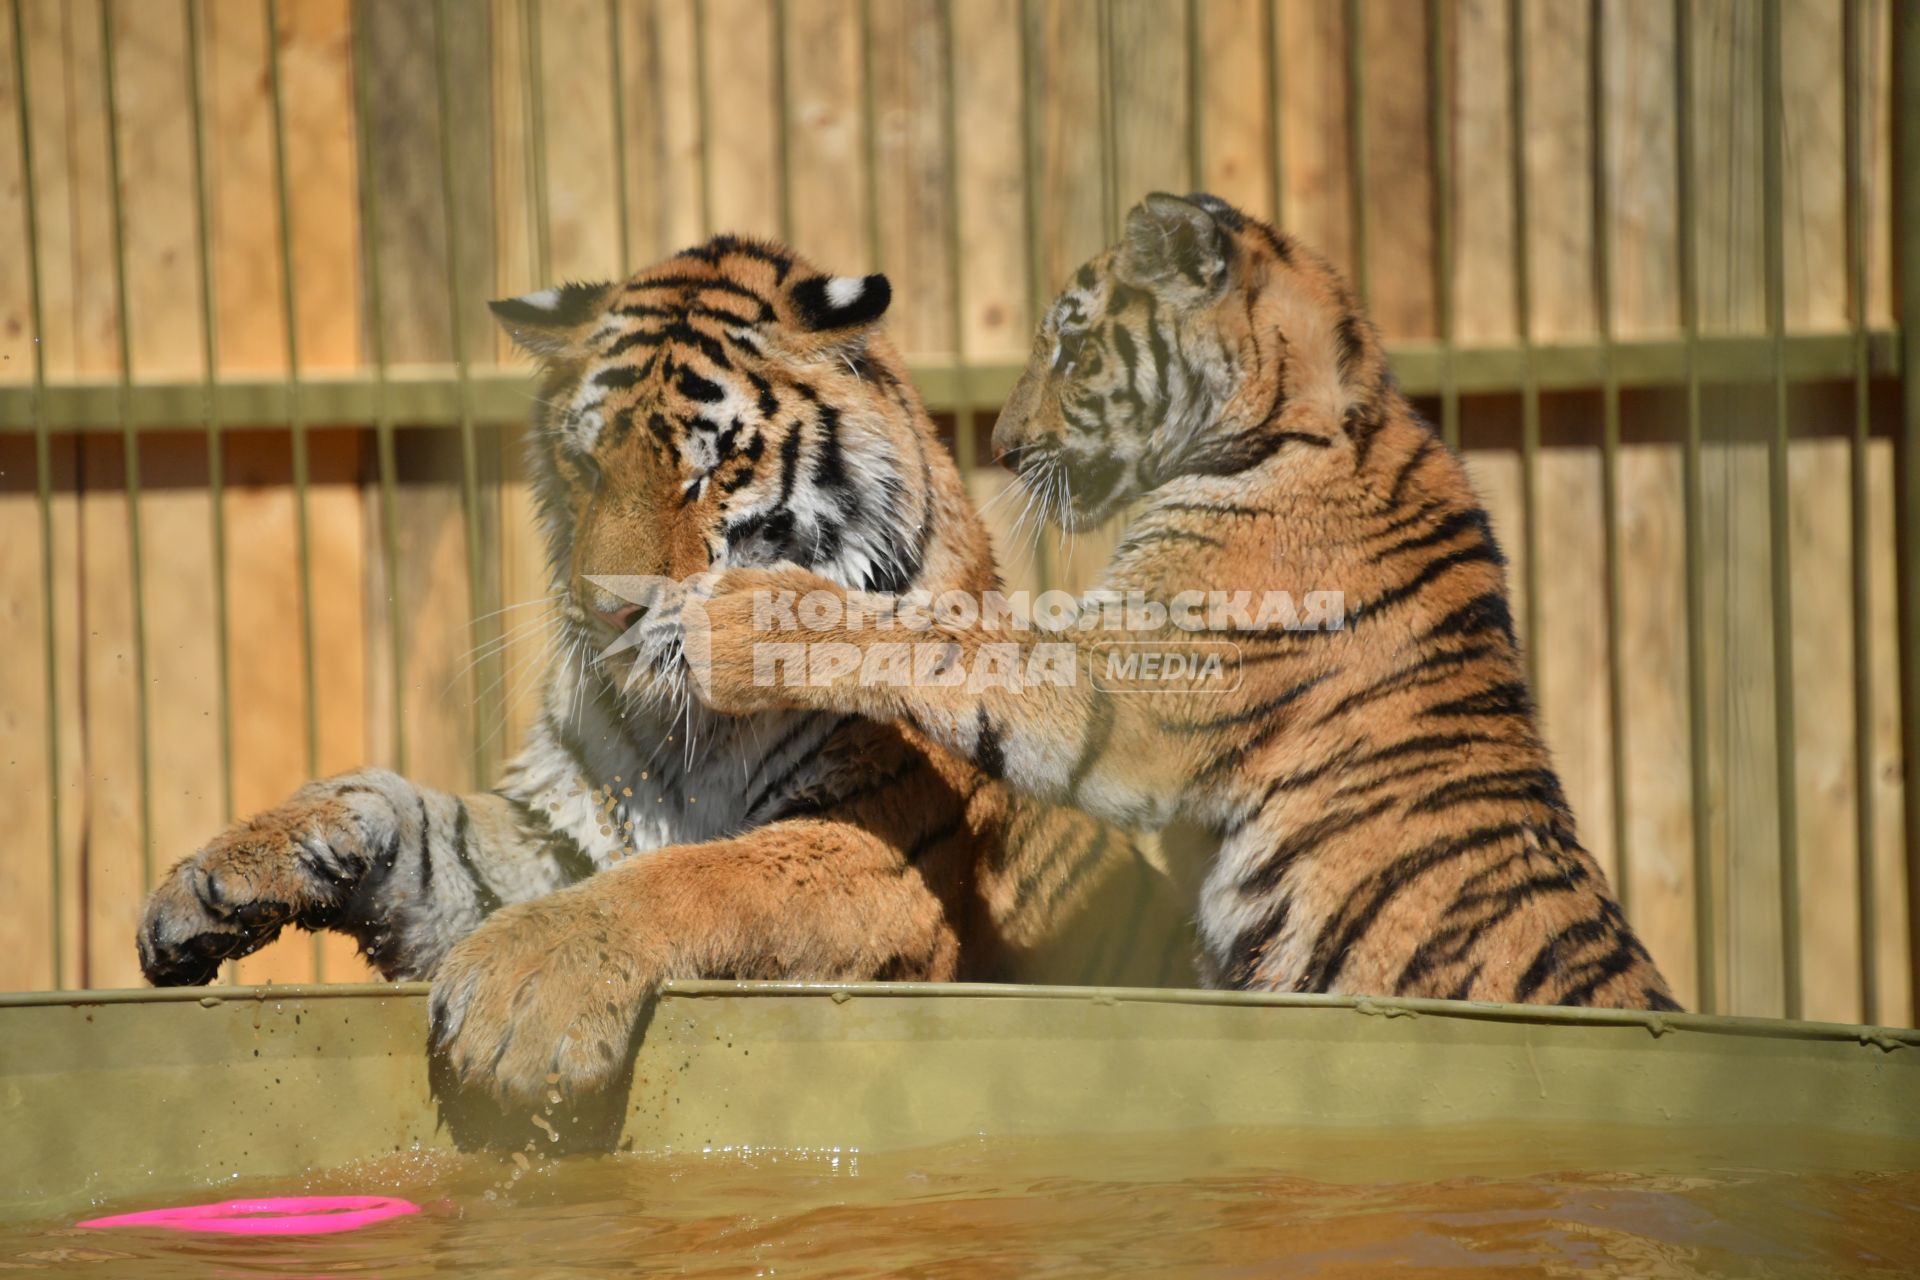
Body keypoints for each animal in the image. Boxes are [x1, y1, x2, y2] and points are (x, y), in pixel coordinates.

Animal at [139, 237, 1167, 1105]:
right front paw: (222, 877)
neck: (695, 727)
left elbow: (706, 874)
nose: (608, 612)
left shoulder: (880, 848)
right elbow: (413, 819)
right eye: (588, 465)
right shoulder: (561, 828)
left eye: (707, 473)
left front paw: (525, 992)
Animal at [691, 192, 1681, 1013]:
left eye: (1075, 351)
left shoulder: (1133, 682)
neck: (1306, 416)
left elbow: (953, 644)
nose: (1004, 448)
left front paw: (750, 619)